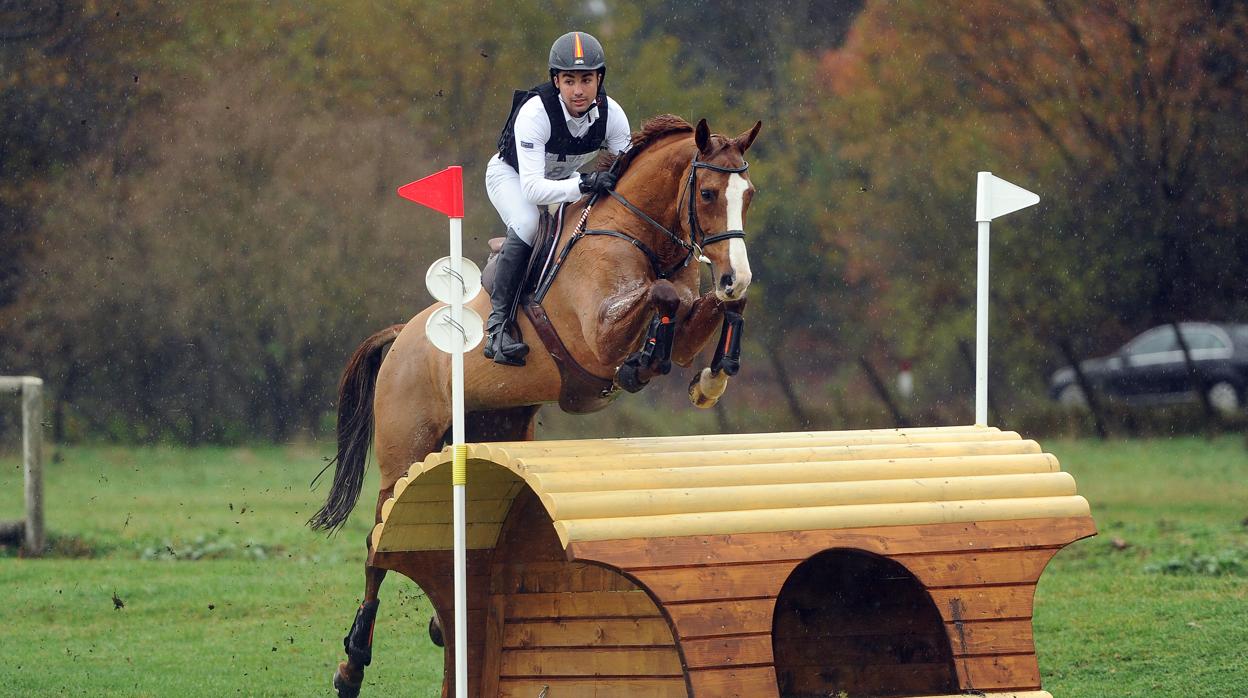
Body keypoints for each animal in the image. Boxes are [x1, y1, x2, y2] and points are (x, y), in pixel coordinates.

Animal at [309, 111, 758, 694]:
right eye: (707, 193)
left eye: (748, 195)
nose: (733, 273)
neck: (638, 234)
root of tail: (401, 335)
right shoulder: (598, 339)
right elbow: (665, 296)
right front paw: (641, 364)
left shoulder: (689, 323)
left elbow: (708, 307)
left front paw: (710, 379)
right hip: (403, 453)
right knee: (375, 544)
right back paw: (352, 665)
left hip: (490, 432)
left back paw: (439, 626)